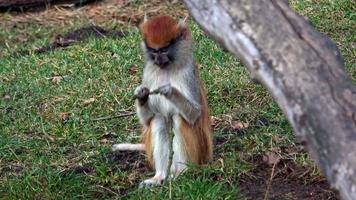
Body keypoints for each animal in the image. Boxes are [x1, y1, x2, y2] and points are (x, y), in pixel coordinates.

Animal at [112, 15, 211, 188]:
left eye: (164, 49)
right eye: (153, 50)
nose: (158, 60)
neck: (167, 68)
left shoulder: (188, 73)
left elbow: (194, 114)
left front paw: (169, 90)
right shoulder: (148, 71)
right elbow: (147, 120)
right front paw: (142, 95)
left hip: (199, 152)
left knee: (178, 119)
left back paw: (180, 173)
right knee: (158, 120)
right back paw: (160, 176)